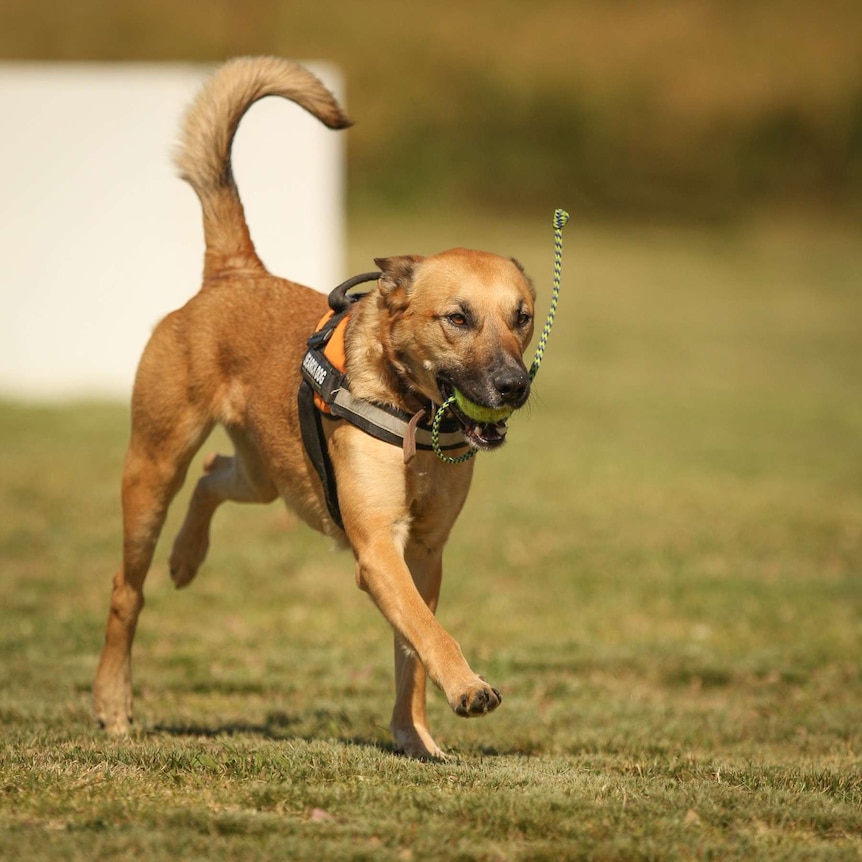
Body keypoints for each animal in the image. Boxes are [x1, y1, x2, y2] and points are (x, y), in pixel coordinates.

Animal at [93, 57, 532, 760]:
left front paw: (415, 738)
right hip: (154, 464)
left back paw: (187, 560)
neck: (412, 414)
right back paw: (113, 703)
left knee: (214, 476)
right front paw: (469, 689)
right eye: (458, 318)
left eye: (522, 318)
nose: (514, 385)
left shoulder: (425, 552)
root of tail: (235, 272)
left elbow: (411, 651)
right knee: (126, 588)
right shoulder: (379, 549)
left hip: (269, 475)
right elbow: (429, 633)